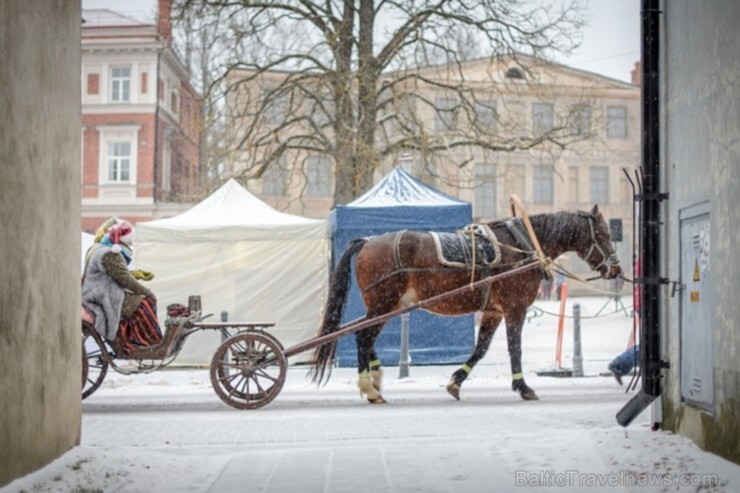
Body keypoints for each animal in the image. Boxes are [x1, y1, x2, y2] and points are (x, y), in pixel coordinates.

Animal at [310, 206, 620, 402]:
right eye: (604, 234)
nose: (616, 268)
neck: (521, 247)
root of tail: (367, 241)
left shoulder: (493, 311)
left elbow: (480, 349)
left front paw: (456, 381)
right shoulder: (515, 308)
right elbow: (514, 349)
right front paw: (522, 386)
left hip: (386, 306)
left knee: (364, 335)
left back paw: (374, 376)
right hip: (383, 304)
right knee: (363, 336)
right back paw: (369, 387)